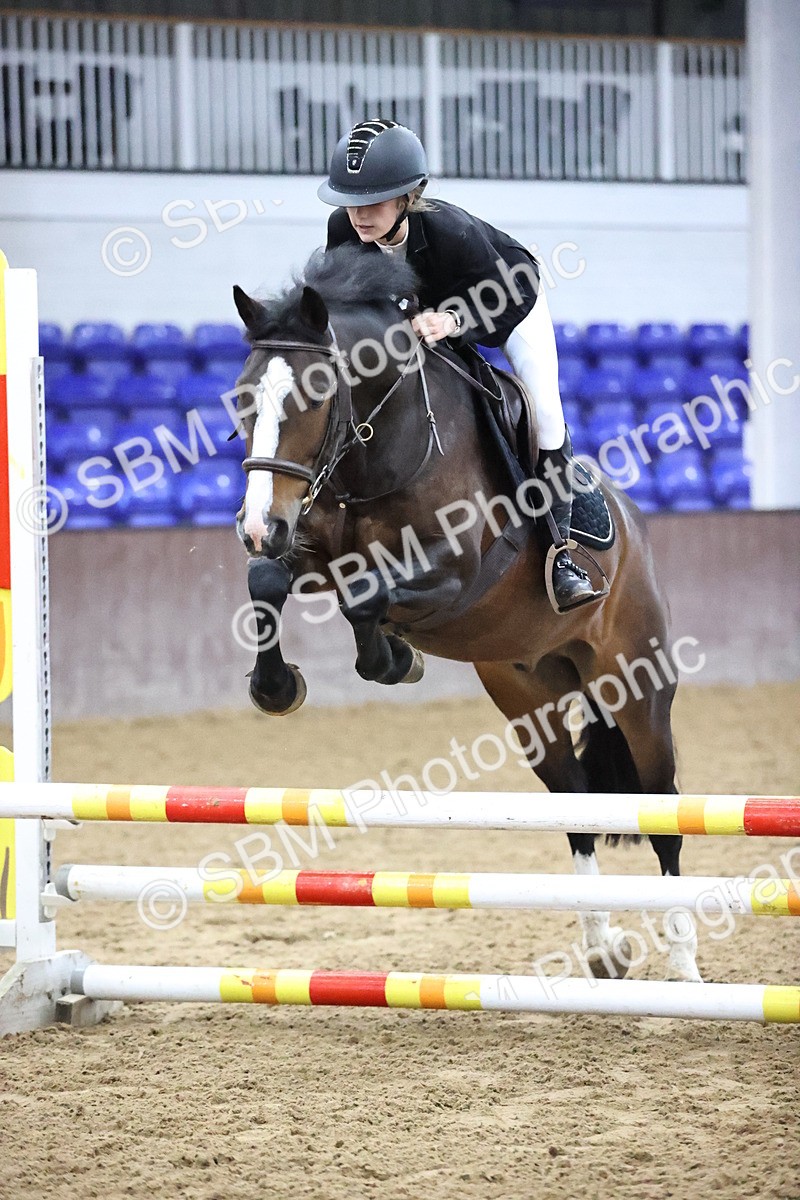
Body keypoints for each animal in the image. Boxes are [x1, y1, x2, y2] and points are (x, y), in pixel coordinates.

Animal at [231, 244, 700, 983]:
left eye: (312, 398)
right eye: (243, 399)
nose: (256, 525)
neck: (378, 449)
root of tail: (636, 532)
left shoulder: (458, 576)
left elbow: (367, 599)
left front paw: (395, 658)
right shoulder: (308, 551)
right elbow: (271, 579)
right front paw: (277, 687)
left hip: (637, 686)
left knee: (661, 812)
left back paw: (684, 962)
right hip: (529, 694)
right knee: (574, 803)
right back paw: (602, 950)